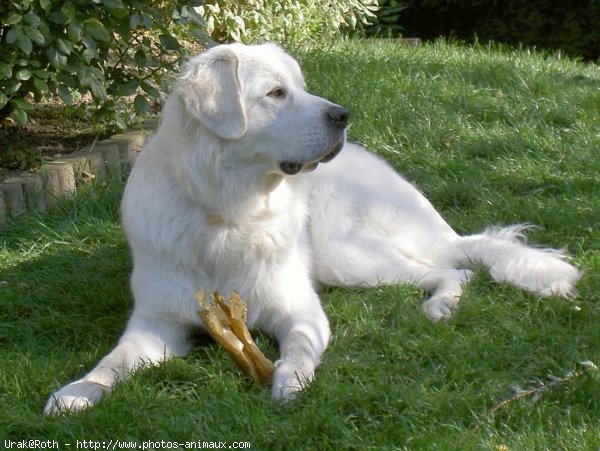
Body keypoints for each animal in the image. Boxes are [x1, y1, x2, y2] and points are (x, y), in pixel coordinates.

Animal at [45, 42, 580, 414]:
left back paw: (439, 307)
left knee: (455, 268)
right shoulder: (158, 323)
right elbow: (112, 362)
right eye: (276, 93)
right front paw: (77, 392)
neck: (228, 213)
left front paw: (289, 383)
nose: (342, 116)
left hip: (342, 254)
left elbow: (299, 349)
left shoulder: (299, 308)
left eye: (300, 87)